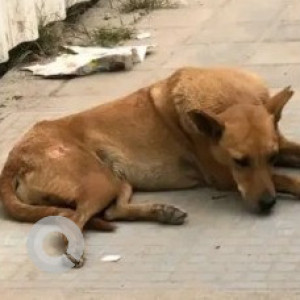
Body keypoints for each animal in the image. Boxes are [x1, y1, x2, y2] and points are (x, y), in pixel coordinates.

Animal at [0, 67, 300, 264]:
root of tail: (14, 156)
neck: (226, 99)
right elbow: (287, 179)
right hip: (99, 182)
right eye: (239, 162)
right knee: (72, 224)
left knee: (112, 212)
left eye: (272, 157)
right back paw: (75, 248)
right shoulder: (225, 177)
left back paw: (162, 212)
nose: (268, 204)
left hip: (117, 180)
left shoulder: (281, 145)